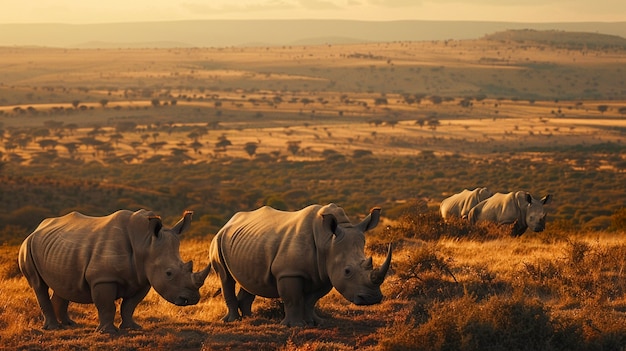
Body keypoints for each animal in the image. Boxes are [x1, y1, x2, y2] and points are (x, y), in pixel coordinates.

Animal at [17, 210, 210, 334]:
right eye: (168, 273)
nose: (192, 299)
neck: (145, 243)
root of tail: (36, 228)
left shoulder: (143, 279)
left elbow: (130, 305)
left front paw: (132, 327)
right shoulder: (103, 278)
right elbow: (107, 305)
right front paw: (108, 332)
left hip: (60, 249)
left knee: (64, 284)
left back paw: (69, 325)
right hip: (27, 246)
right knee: (38, 285)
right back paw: (53, 328)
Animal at [210, 204, 390, 328]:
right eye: (347, 271)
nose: (372, 298)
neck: (327, 241)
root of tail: (228, 222)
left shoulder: (324, 273)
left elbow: (311, 300)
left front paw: (315, 322)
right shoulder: (289, 272)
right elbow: (293, 298)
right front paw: (294, 326)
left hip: (247, 243)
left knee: (249, 279)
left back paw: (250, 319)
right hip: (218, 240)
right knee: (225, 278)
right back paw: (232, 321)